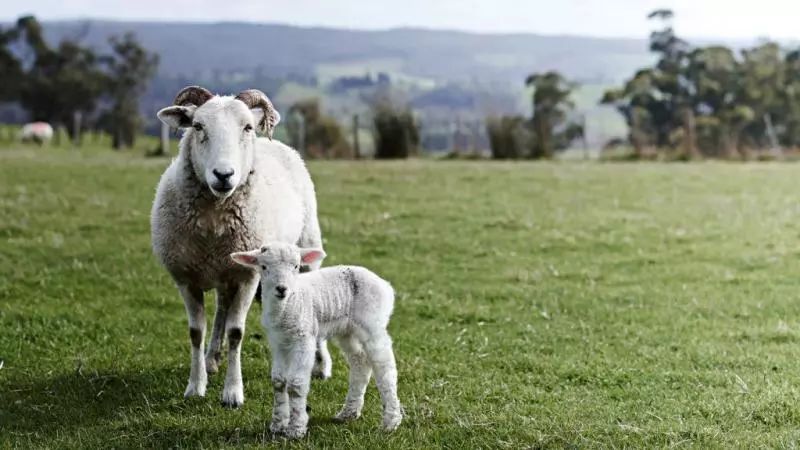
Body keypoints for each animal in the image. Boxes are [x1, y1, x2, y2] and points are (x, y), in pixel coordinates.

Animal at [231, 244, 404, 438]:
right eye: (263, 267)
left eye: (296, 266)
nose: (281, 289)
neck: (288, 305)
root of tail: (385, 285)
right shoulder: (277, 342)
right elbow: (278, 381)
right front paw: (277, 425)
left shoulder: (304, 339)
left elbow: (296, 384)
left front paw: (296, 429)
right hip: (347, 330)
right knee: (360, 361)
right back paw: (348, 413)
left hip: (373, 322)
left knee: (385, 367)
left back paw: (391, 421)